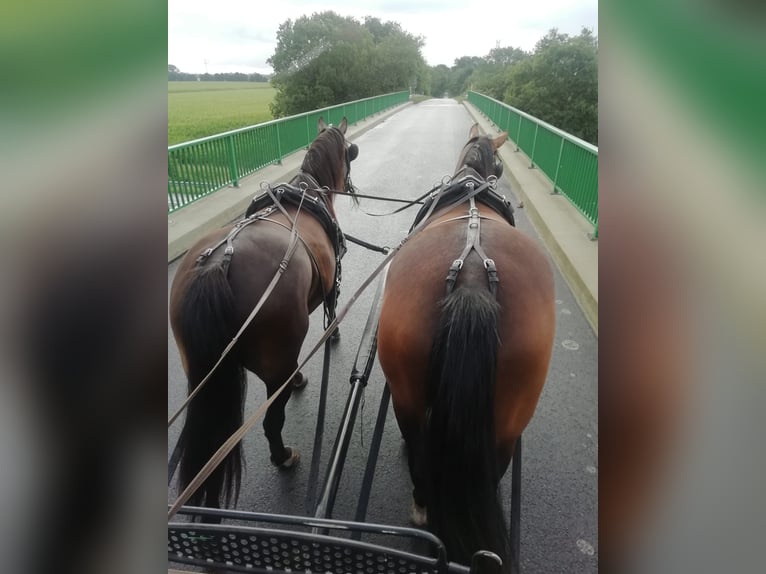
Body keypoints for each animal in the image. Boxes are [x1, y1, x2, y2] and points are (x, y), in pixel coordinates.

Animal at [169, 117, 358, 511]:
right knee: (273, 418)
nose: (349, 184)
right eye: (350, 153)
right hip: (275, 362)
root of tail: (218, 265)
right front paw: (332, 333)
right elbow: (332, 307)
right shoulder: (333, 278)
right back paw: (283, 455)